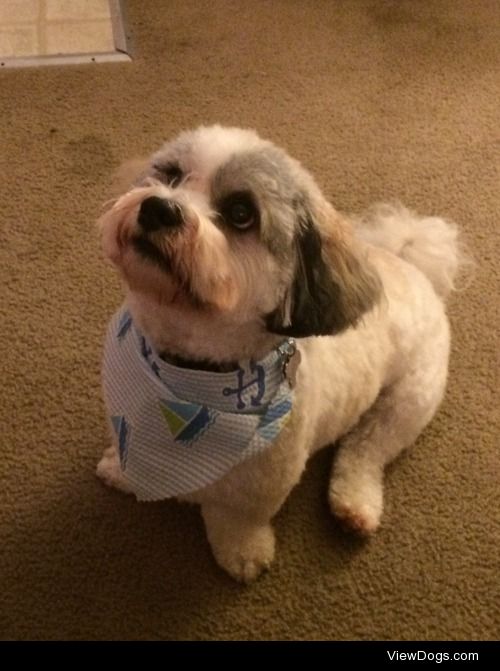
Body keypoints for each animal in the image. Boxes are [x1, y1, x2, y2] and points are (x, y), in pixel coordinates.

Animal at [95, 124, 462, 584]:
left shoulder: (261, 485)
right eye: (171, 175)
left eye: (240, 213)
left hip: (409, 400)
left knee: (366, 450)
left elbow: (237, 520)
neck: (186, 376)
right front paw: (119, 471)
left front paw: (243, 554)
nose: (159, 208)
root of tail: (410, 265)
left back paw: (354, 504)